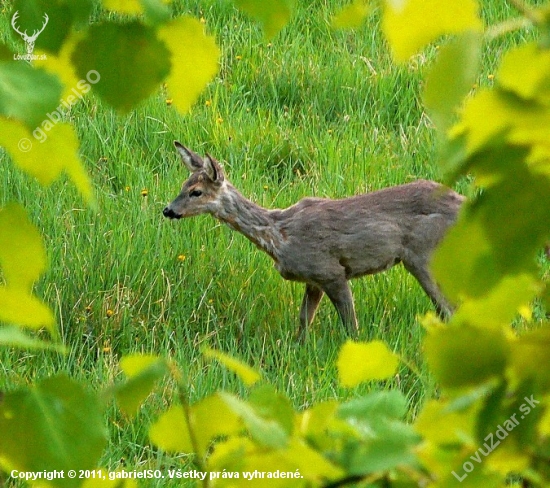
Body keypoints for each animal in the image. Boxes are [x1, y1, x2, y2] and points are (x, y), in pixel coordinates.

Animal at [163, 141, 466, 338]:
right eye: (182, 185)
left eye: (196, 192)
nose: (168, 210)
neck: (279, 235)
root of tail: (463, 203)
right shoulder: (313, 280)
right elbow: (303, 321)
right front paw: (298, 347)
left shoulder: (329, 270)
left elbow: (351, 325)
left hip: (423, 254)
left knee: (448, 308)